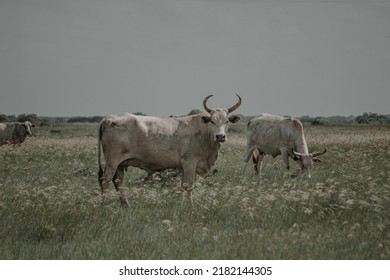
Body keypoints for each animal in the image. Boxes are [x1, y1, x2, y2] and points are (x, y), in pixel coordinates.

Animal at [97, 94, 242, 206]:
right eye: (212, 121)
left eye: (227, 121)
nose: (220, 136)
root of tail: (108, 118)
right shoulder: (190, 163)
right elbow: (189, 185)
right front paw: (191, 206)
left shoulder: (184, 166)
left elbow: (183, 186)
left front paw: (182, 205)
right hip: (112, 161)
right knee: (105, 181)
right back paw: (104, 205)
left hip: (121, 164)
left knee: (118, 182)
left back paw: (126, 205)